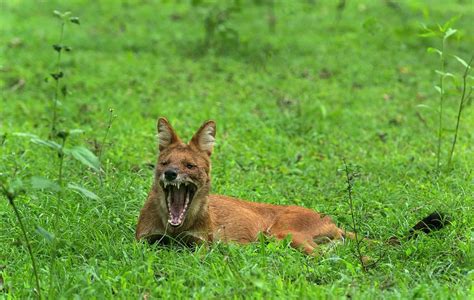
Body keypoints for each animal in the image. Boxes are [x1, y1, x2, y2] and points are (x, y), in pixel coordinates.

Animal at [135, 118, 450, 254]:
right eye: (165, 163)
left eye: (189, 166)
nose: (171, 175)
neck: (174, 227)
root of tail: (330, 219)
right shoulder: (143, 241)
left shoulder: (203, 246)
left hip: (283, 234)